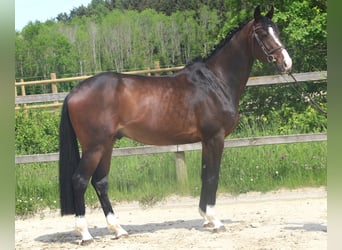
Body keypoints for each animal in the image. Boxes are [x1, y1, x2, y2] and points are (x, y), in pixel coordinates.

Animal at [58, 5, 292, 244]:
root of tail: (74, 92)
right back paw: (85, 234)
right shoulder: (215, 138)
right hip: (94, 147)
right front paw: (215, 221)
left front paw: (205, 217)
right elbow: (213, 176)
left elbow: (204, 174)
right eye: (262, 33)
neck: (215, 82)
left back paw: (118, 229)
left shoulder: (206, 141)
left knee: (100, 182)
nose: (286, 63)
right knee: (79, 180)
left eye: (277, 31)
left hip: (107, 145)